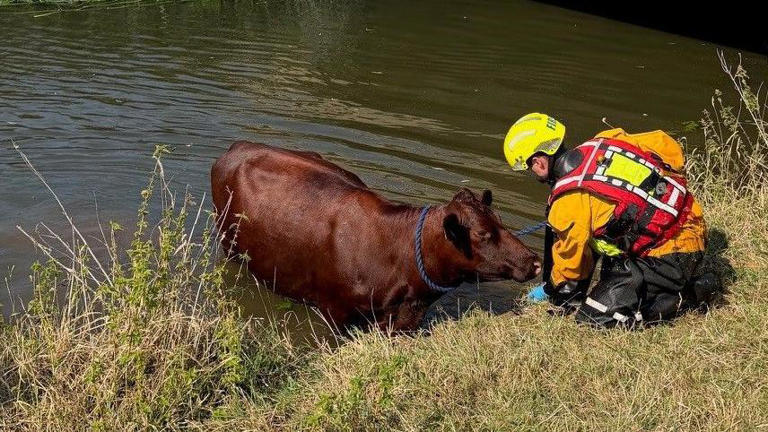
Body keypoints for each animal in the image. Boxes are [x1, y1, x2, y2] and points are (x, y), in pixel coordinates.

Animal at [211, 141, 541, 331]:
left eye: (501, 220)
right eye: (483, 233)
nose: (535, 261)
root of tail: (238, 147)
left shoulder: (403, 319)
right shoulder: (335, 313)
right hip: (229, 246)